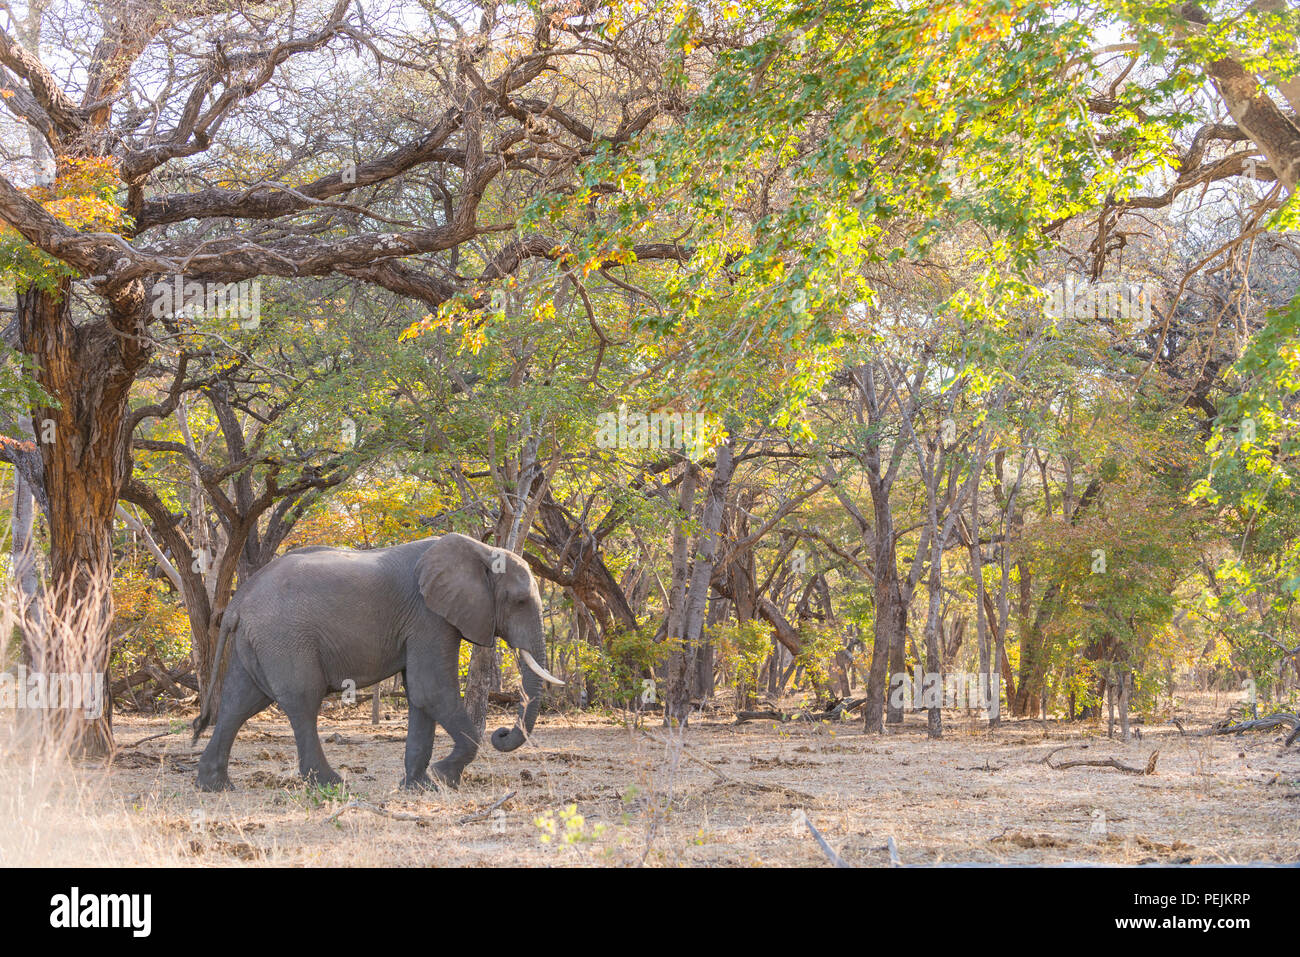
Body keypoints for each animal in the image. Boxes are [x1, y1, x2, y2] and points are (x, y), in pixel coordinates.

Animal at [191, 530, 559, 790]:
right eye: (520, 601)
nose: (501, 733)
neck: (480, 550)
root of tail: (237, 603)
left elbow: (420, 695)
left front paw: (419, 787)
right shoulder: (428, 617)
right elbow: (432, 690)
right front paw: (443, 777)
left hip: (255, 642)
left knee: (239, 703)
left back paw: (215, 786)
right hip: (284, 638)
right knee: (302, 701)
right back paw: (331, 784)